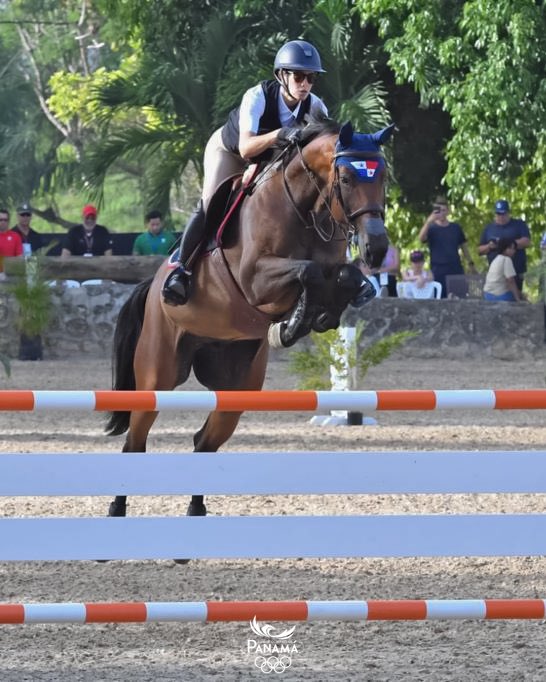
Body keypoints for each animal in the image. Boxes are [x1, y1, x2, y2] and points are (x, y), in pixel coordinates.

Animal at [104, 114, 388, 516]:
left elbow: (344, 276)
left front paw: (315, 318)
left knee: (204, 441)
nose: (376, 248)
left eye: (384, 177)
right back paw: (117, 509)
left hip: (236, 383)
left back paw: (195, 512)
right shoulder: (256, 279)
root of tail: (153, 282)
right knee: (135, 441)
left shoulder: (332, 266)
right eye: (346, 178)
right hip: (157, 374)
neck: (304, 209)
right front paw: (294, 323)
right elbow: (309, 273)